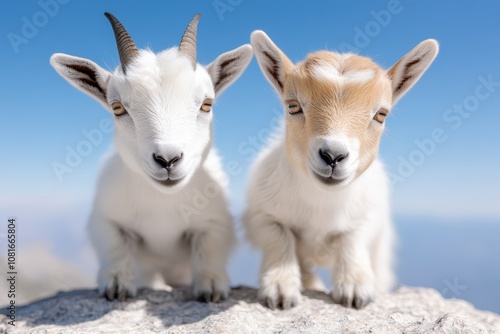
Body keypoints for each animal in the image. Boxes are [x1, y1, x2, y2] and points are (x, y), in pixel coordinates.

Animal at [50, 13, 252, 302]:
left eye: (207, 103)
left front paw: (212, 286)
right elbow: (115, 244)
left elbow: (209, 247)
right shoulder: (105, 219)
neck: (163, 204)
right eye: (117, 107)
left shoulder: (215, 222)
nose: (168, 159)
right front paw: (116, 284)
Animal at [246, 30, 438, 308]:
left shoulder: (369, 217)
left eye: (381, 114)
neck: (322, 204)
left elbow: (352, 240)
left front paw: (355, 289)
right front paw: (280, 289)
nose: (333, 155)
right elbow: (279, 239)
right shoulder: (261, 215)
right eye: (293, 106)